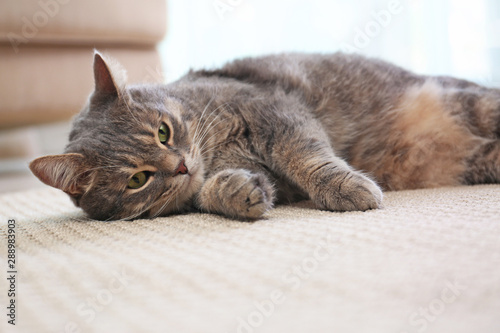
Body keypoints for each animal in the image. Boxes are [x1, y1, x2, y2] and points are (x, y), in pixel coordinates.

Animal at [30, 50, 500, 219]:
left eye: (163, 132)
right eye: (137, 180)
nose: (180, 165)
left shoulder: (275, 113)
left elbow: (307, 157)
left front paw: (346, 188)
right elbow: (211, 193)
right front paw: (237, 192)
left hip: (478, 105)